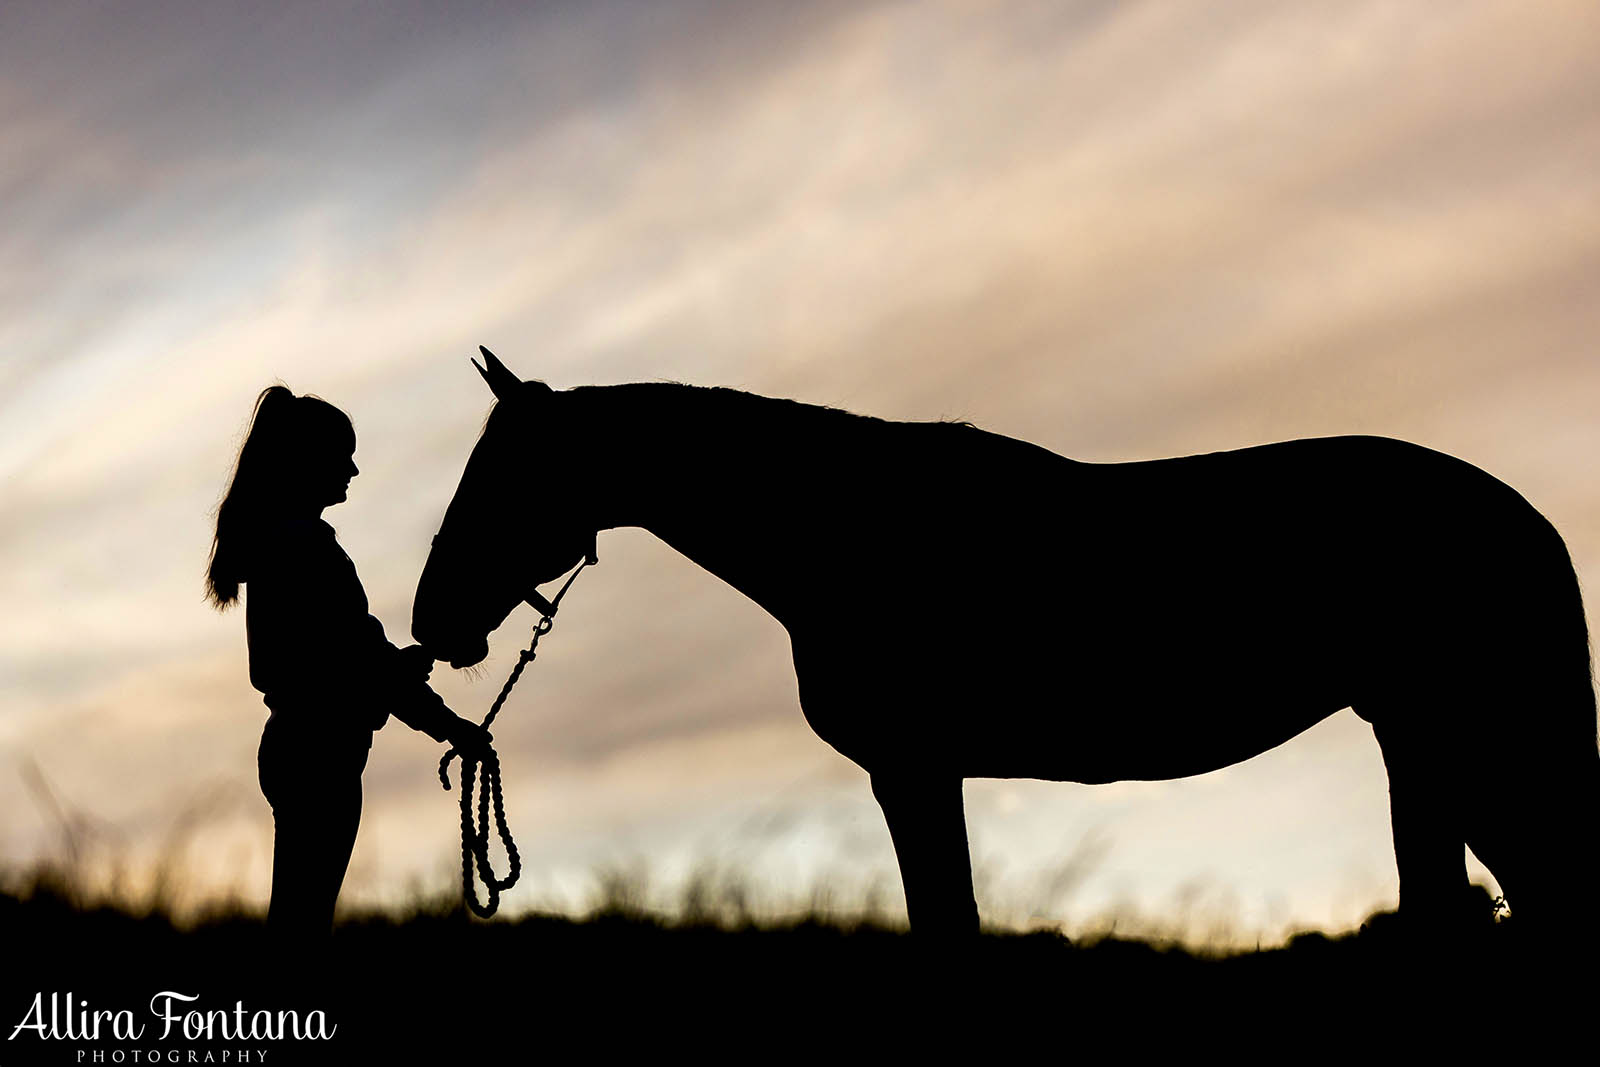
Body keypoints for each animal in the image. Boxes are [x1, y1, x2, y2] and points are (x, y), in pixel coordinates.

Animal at [416, 348, 1600, 934]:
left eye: (504, 472)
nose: (430, 617)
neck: (844, 529)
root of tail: (1523, 520)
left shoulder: (913, 768)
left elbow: (951, 923)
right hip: (1424, 745)